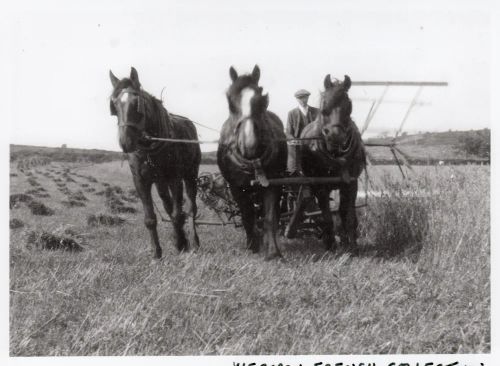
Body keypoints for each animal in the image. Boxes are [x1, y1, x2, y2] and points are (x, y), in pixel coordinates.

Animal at [109, 68, 201, 258]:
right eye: (114, 104)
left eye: (136, 102)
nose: (125, 142)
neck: (149, 148)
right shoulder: (141, 181)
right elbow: (151, 218)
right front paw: (157, 253)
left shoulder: (175, 178)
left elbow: (177, 213)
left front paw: (181, 243)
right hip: (160, 182)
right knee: (168, 204)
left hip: (190, 174)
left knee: (190, 208)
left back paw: (193, 241)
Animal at [217, 66, 288, 260]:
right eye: (230, 102)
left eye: (262, 100)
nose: (249, 145)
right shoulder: (236, 187)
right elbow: (247, 215)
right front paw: (252, 246)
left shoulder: (272, 183)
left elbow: (269, 216)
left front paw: (272, 251)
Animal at [298, 74, 366, 254]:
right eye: (324, 106)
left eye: (349, 105)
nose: (336, 136)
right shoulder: (321, 186)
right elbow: (326, 217)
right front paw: (331, 246)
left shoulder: (350, 183)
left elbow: (348, 216)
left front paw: (352, 246)